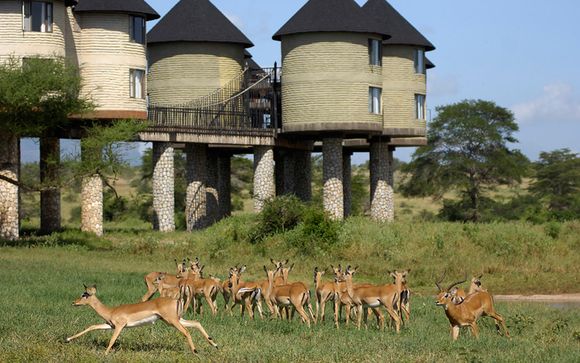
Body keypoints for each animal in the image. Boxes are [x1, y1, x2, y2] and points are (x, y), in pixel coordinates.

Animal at [64, 284, 218, 356]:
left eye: (84, 294)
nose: (73, 302)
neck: (111, 311)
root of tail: (176, 300)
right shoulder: (110, 325)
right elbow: (92, 326)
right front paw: (67, 339)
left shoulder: (119, 326)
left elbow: (112, 340)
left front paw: (105, 354)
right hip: (175, 319)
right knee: (196, 323)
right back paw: (214, 345)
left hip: (172, 321)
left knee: (186, 331)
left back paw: (195, 351)